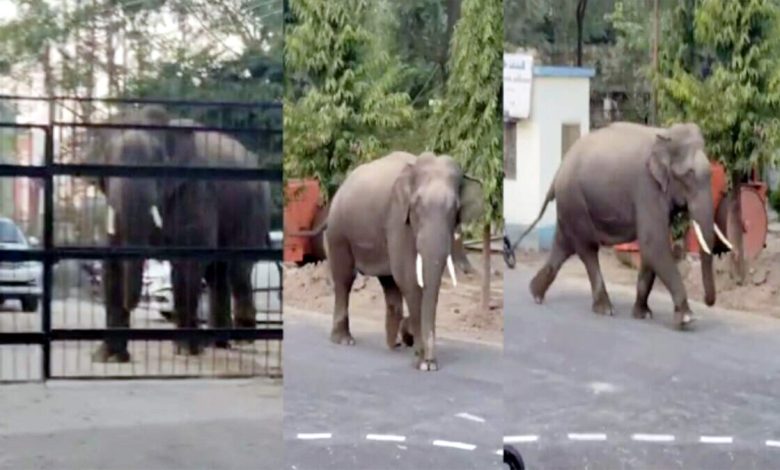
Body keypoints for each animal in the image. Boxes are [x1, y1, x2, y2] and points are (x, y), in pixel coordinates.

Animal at [84, 105, 272, 364]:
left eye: (156, 166)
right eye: (108, 166)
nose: (132, 304)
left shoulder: (195, 190)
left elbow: (187, 263)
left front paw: (185, 351)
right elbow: (112, 263)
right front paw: (107, 358)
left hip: (253, 209)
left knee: (238, 270)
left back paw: (241, 339)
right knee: (217, 273)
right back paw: (216, 344)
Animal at [310, 151, 482, 370]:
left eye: (455, 209)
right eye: (416, 206)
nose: (429, 360)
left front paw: (420, 351)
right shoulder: (397, 218)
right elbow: (408, 277)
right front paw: (423, 363)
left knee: (389, 283)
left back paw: (394, 344)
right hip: (339, 231)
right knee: (344, 279)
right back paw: (344, 340)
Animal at [512, 120, 732, 330]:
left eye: (711, 175)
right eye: (689, 174)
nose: (707, 301)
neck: (665, 135)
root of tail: (559, 170)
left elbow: (650, 249)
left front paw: (643, 314)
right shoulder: (646, 188)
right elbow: (654, 243)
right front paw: (687, 318)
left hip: (570, 205)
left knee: (563, 246)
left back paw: (535, 293)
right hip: (575, 201)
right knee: (587, 250)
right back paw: (604, 309)